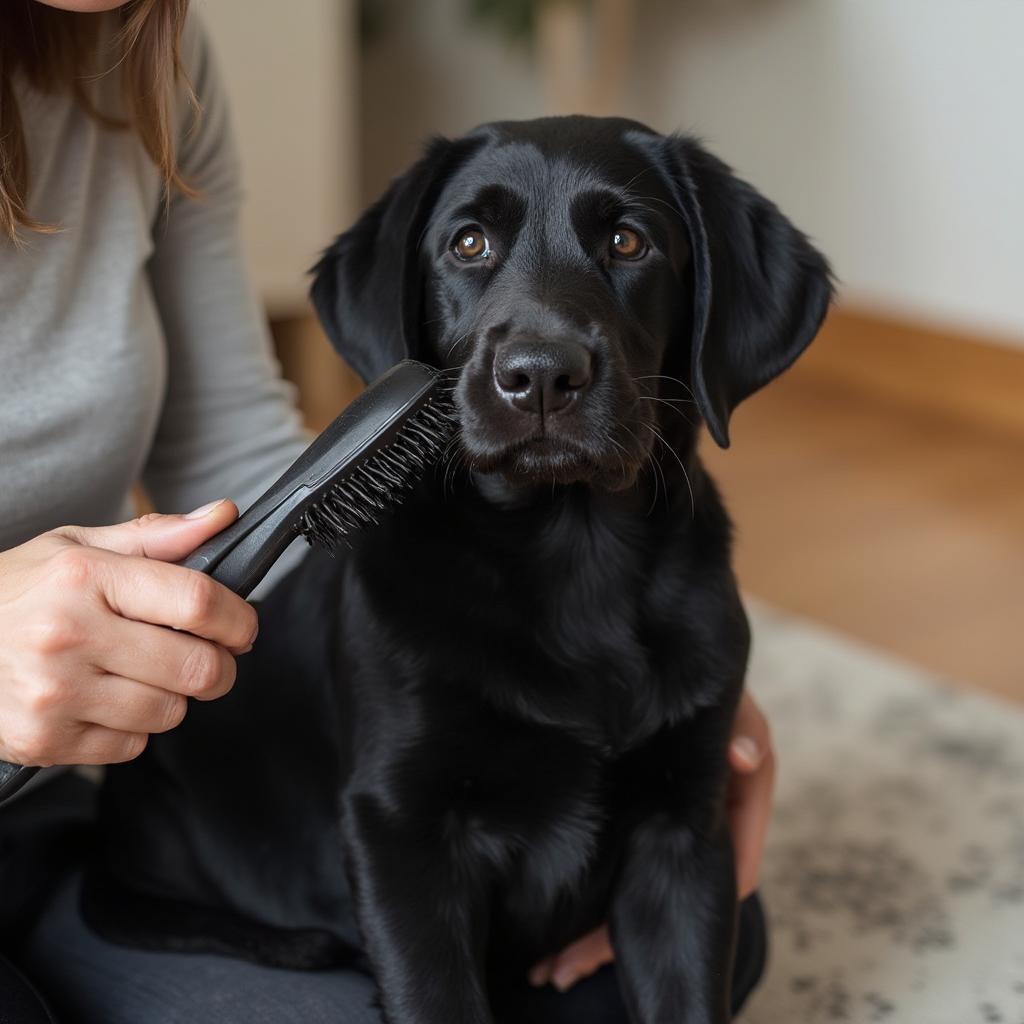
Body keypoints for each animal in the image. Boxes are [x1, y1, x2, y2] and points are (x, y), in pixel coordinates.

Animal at [83, 117, 827, 1024]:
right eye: (469, 243)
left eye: (629, 241)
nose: (540, 375)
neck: (571, 558)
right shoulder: (399, 827)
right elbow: (435, 994)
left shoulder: (686, 827)